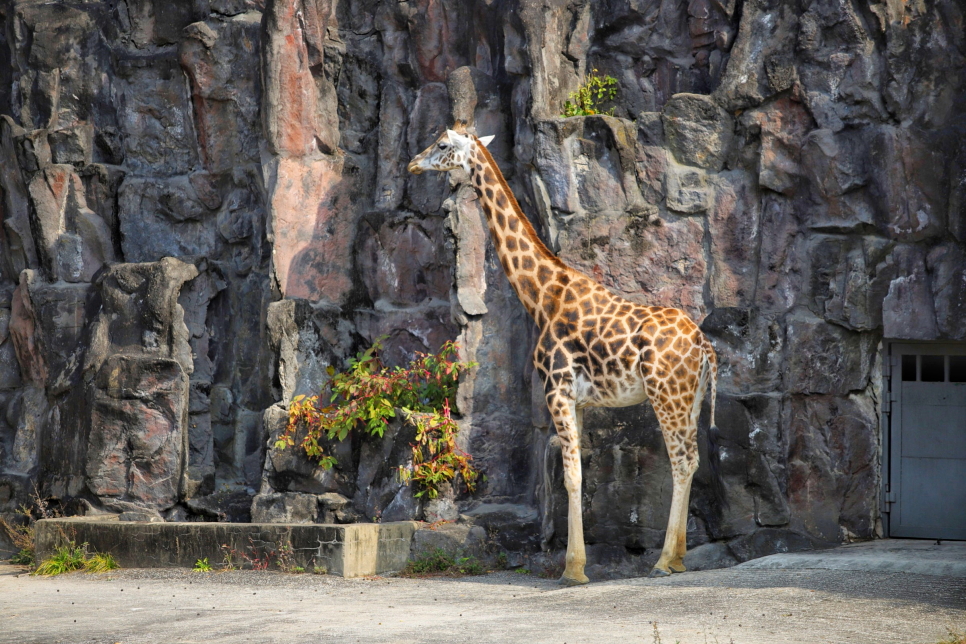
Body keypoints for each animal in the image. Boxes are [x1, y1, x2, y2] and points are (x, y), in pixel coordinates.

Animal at [410, 123, 728, 588]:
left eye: (443, 144)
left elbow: (571, 476)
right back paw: (679, 558)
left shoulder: (556, 389)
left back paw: (663, 559)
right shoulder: (576, 399)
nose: (413, 163)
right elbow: (575, 475)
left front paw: (573, 569)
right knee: (694, 458)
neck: (541, 295)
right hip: (692, 398)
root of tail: (705, 348)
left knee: (682, 461)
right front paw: (576, 563)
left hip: (667, 395)